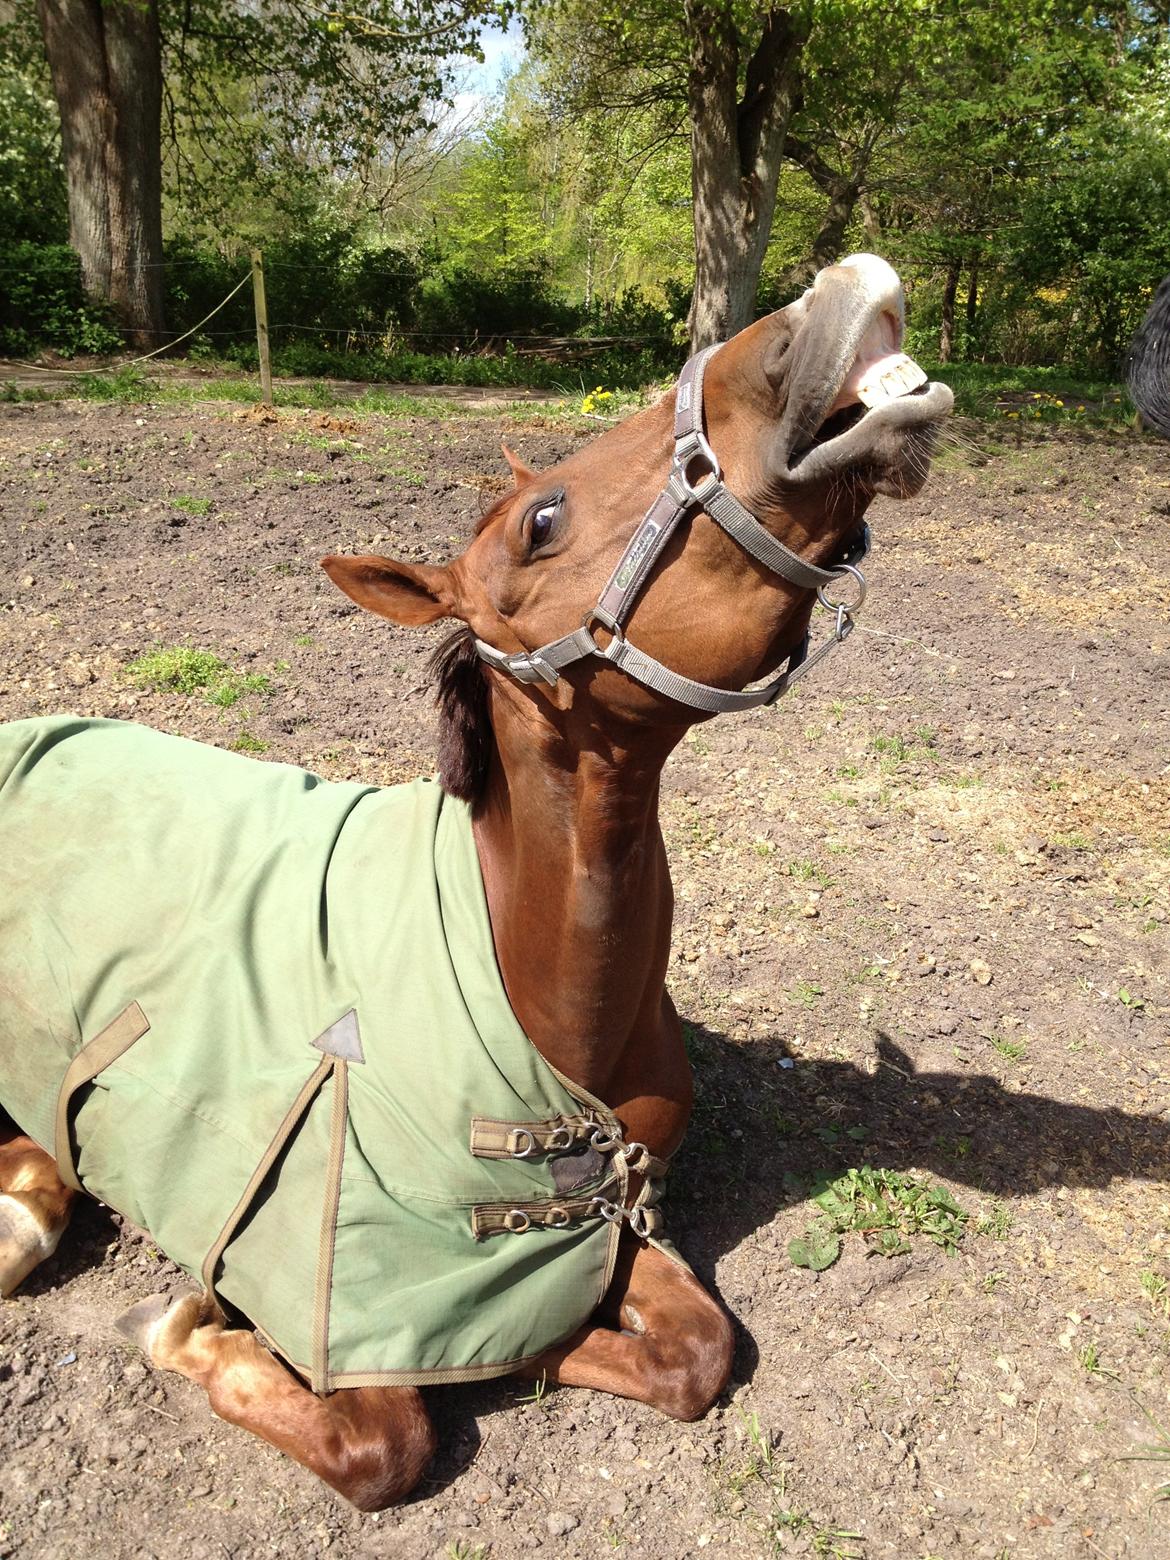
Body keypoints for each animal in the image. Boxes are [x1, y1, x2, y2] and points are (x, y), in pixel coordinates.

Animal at [0, 255, 954, 1510]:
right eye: (543, 519)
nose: (839, 290)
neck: (540, 1000)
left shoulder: (611, 1215)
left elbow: (687, 1347)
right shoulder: (337, 1289)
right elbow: (383, 1441)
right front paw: (185, 1332)